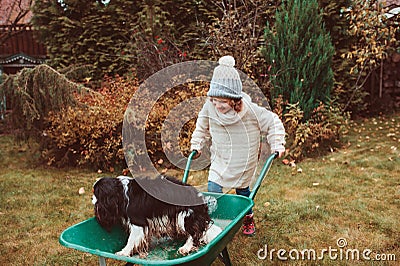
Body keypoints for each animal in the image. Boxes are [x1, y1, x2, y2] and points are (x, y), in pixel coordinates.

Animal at [91, 176, 222, 256]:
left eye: (95, 193)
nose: (91, 198)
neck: (121, 191)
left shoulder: (137, 222)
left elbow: (131, 239)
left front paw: (124, 252)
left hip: (184, 215)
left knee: (195, 232)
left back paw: (186, 247)